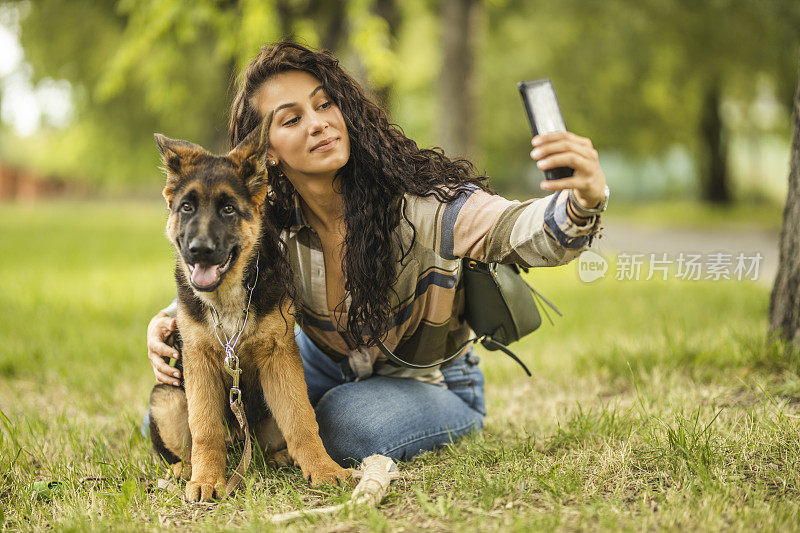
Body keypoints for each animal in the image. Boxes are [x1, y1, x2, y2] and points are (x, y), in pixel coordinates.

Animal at [150, 127, 350, 500]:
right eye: (187, 207)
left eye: (229, 209)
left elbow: (302, 421)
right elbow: (205, 428)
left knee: (273, 442)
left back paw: (282, 458)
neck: (227, 298)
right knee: (188, 448)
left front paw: (323, 469)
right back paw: (185, 471)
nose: (199, 250)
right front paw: (206, 480)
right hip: (166, 396)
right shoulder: (199, 362)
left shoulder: (280, 357)